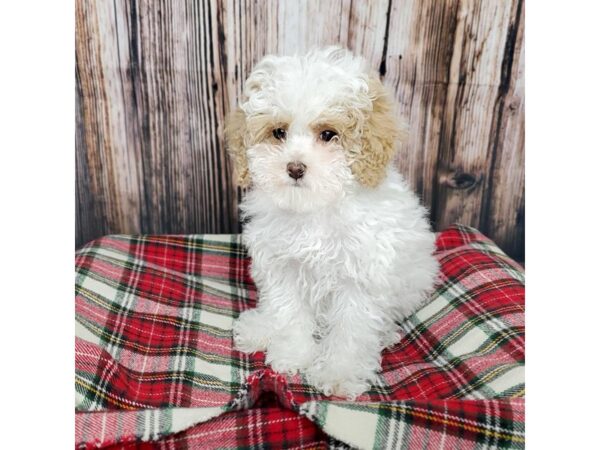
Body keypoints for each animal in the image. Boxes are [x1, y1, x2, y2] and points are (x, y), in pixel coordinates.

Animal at [225, 47, 440, 400]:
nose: (295, 168)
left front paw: (340, 373)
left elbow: (351, 330)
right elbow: (289, 313)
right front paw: (292, 354)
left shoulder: (360, 278)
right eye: (279, 132)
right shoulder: (283, 267)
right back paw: (261, 327)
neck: (314, 208)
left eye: (329, 134)